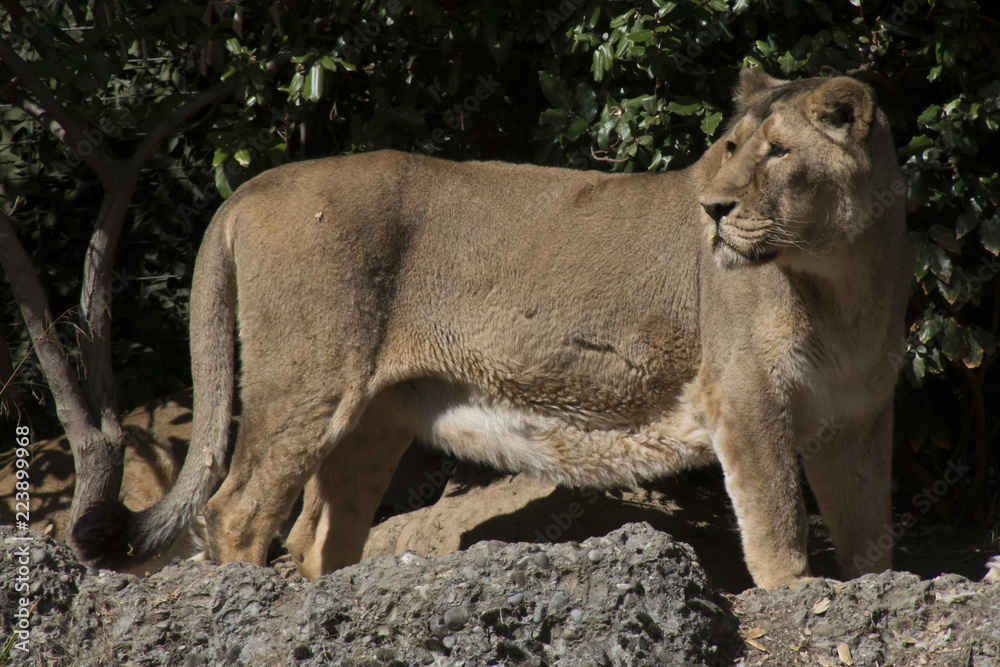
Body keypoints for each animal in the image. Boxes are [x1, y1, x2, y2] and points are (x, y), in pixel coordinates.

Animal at [74, 70, 912, 589]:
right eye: (731, 149)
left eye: (780, 152)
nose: (711, 208)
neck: (841, 279)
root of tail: (253, 185)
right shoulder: (745, 400)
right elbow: (777, 527)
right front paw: (791, 594)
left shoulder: (858, 421)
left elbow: (869, 533)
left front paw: (872, 588)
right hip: (307, 383)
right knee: (237, 511)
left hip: (372, 419)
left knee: (320, 532)